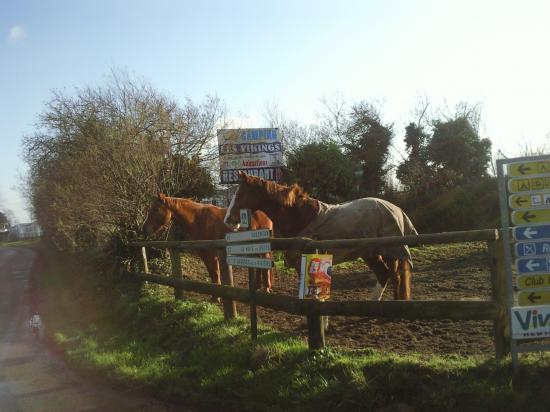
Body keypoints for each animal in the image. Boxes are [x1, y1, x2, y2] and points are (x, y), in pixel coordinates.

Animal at [143, 195, 274, 292]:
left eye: (155, 209)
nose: (143, 229)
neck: (197, 219)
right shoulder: (204, 254)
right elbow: (212, 274)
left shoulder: (211, 254)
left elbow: (215, 273)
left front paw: (217, 298)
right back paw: (257, 286)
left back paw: (266, 288)